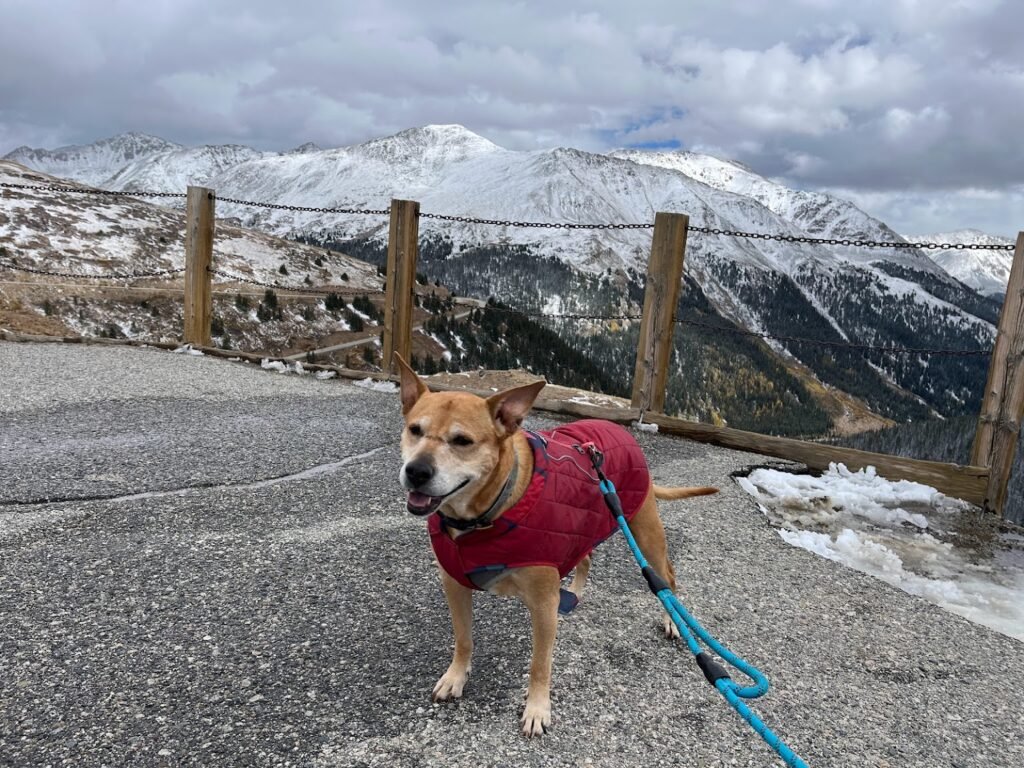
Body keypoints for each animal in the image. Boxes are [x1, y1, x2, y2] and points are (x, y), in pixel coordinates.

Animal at [395, 354, 716, 741]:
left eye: (462, 441)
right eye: (415, 430)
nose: (416, 471)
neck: (480, 518)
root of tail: (620, 431)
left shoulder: (543, 604)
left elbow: (539, 663)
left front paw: (537, 708)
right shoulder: (454, 585)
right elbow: (464, 639)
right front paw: (456, 676)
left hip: (644, 529)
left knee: (666, 576)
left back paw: (672, 619)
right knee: (586, 557)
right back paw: (574, 593)